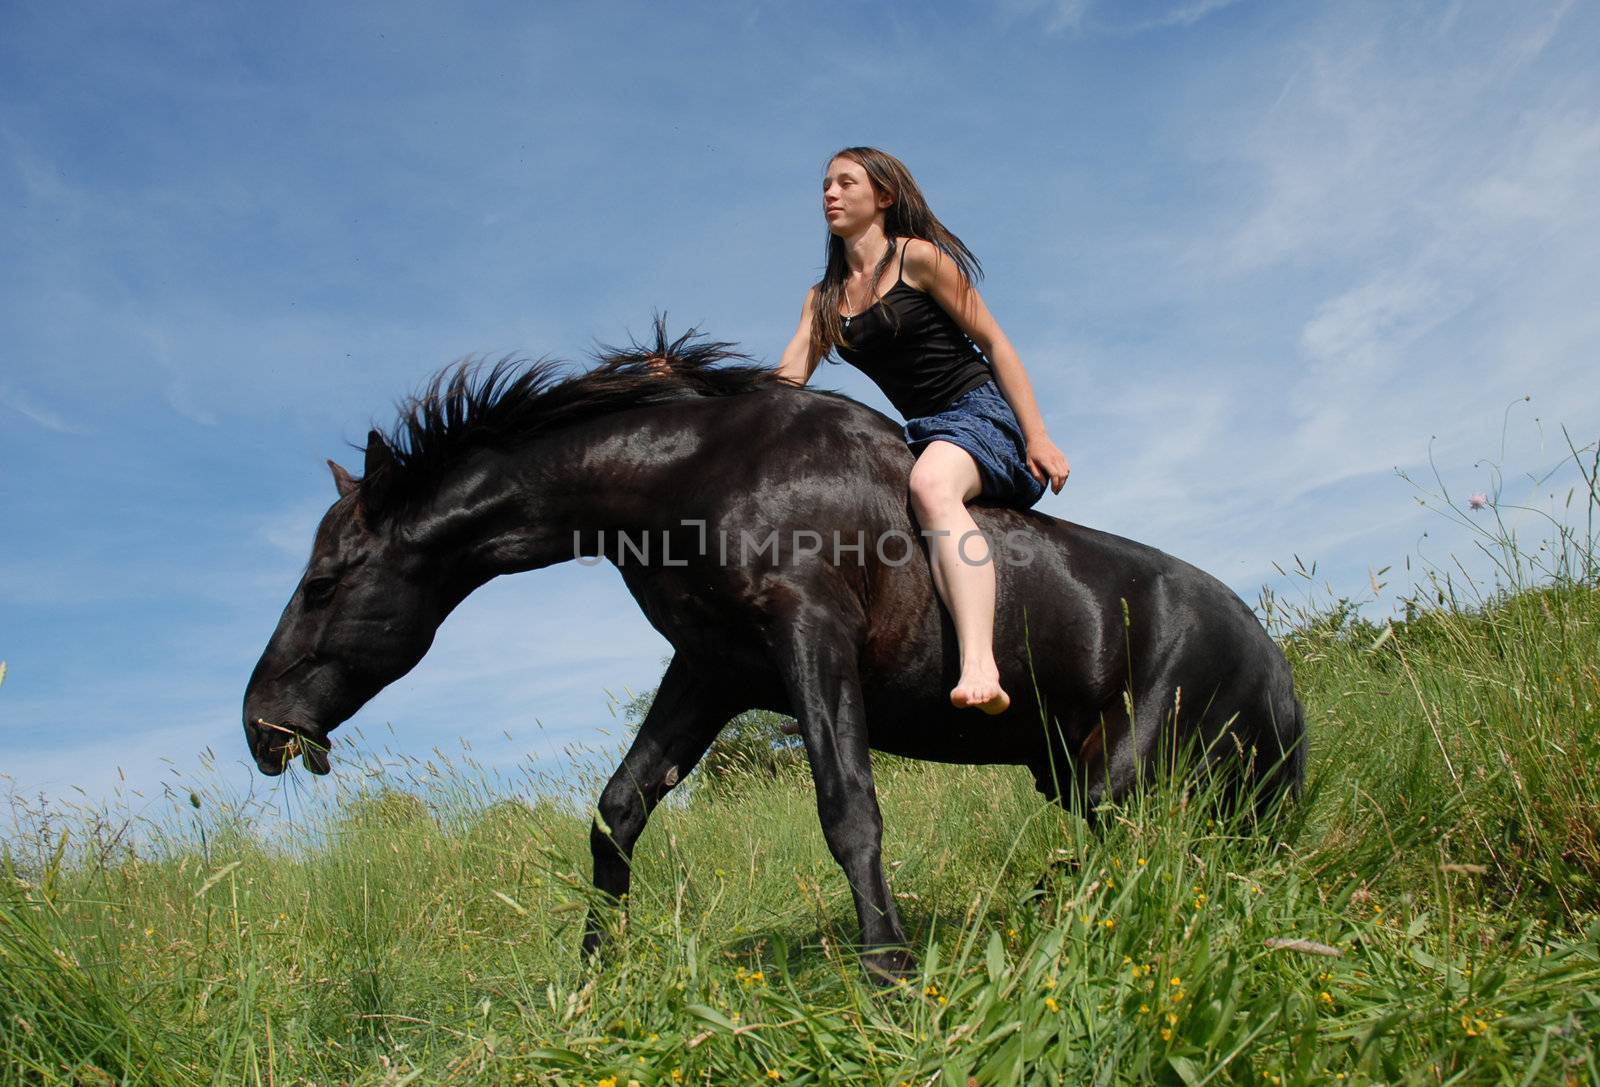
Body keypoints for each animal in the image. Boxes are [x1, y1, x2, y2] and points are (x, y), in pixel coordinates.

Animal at [246, 323, 1299, 979]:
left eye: (325, 580)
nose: (262, 727)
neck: (704, 473)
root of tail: (1279, 671)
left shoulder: (810, 635)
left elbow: (848, 811)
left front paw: (889, 976)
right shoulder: (713, 669)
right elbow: (617, 813)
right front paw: (591, 983)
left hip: (1129, 781)